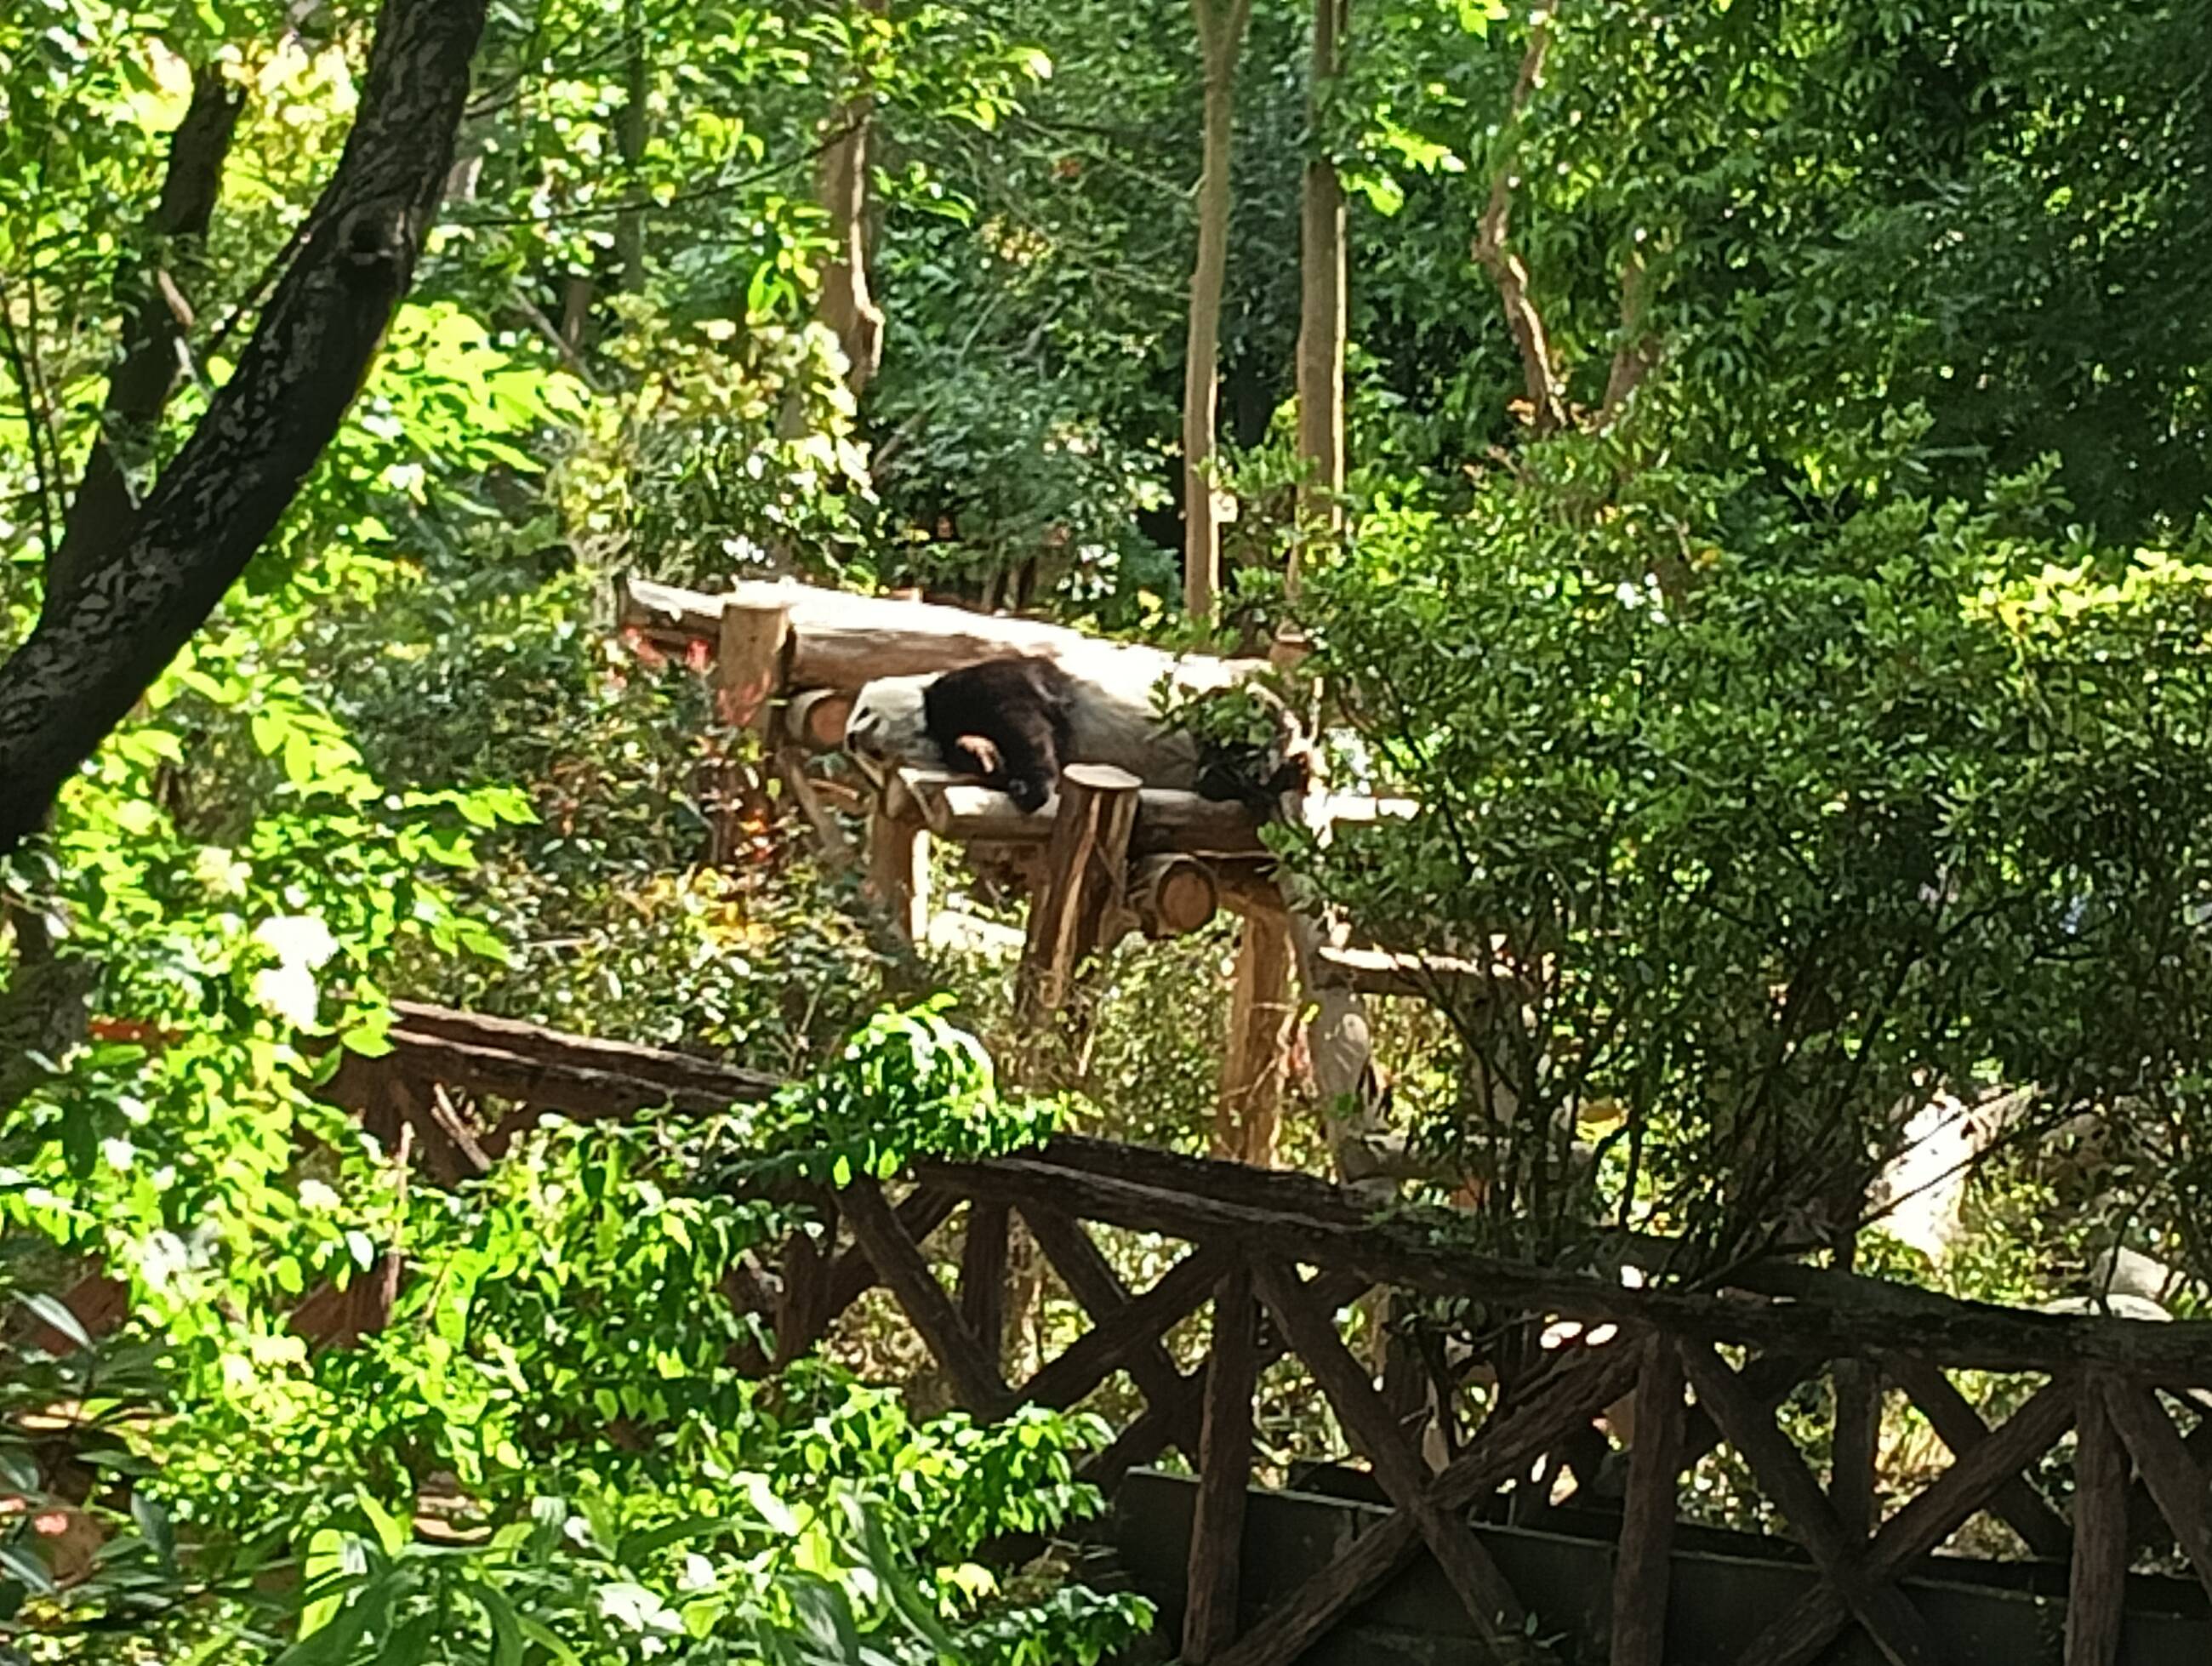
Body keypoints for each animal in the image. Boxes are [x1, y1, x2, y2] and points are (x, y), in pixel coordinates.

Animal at [840, 652, 1310, 816]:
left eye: (862, 711)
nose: (850, 739)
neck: (931, 717)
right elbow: (980, 752)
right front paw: (981, 756)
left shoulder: (994, 682)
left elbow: (1024, 723)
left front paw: (1032, 789)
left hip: (1232, 707)